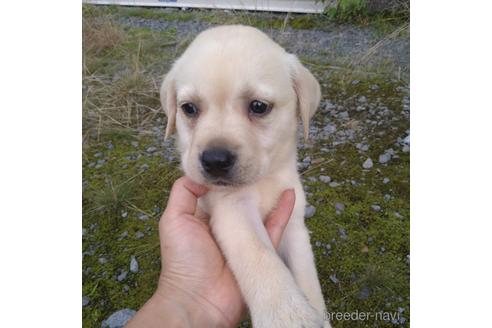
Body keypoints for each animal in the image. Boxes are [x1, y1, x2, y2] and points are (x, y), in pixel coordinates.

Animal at [161, 24, 330, 326]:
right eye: (189, 108)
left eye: (259, 106)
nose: (215, 160)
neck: (263, 181)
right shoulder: (232, 211)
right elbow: (260, 256)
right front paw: (287, 314)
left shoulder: (295, 223)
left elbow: (308, 280)